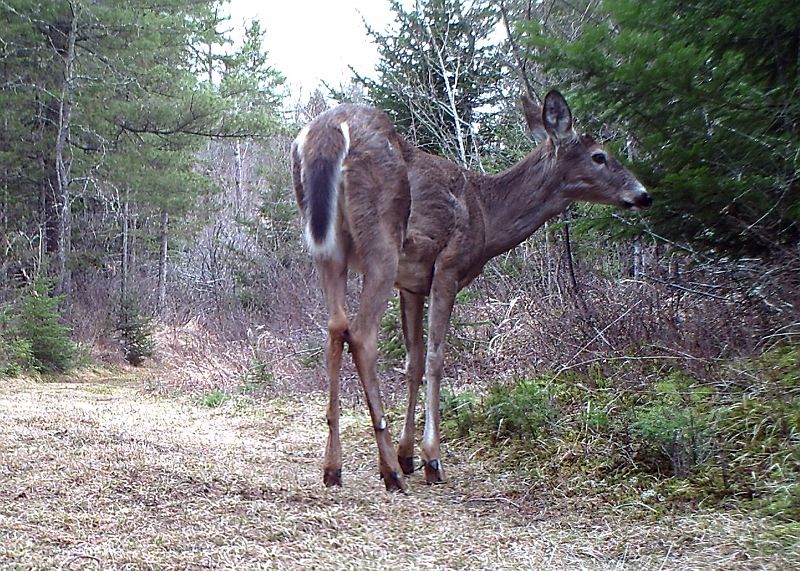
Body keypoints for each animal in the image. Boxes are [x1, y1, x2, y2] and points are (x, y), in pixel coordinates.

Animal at [292, 92, 648, 492]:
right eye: (599, 156)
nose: (643, 195)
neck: (488, 216)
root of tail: (327, 132)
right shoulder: (448, 266)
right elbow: (436, 358)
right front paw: (430, 458)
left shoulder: (412, 284)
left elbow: (414, 362)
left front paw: (408, 454)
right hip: (382, 243)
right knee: (362, 335)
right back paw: (389, 472)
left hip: (328, 250)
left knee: (335, 329)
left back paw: (333, 467)